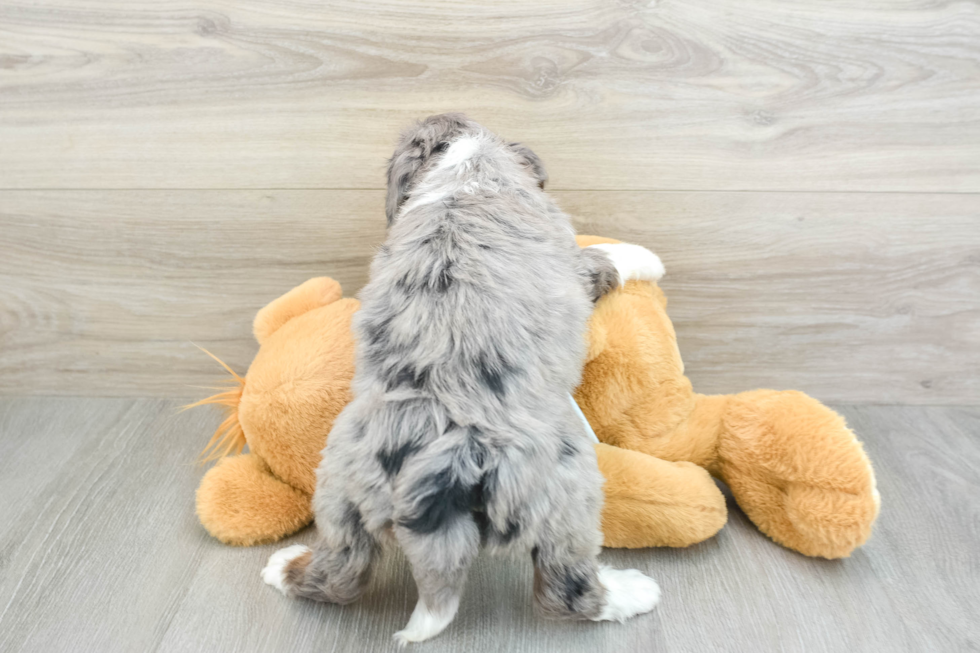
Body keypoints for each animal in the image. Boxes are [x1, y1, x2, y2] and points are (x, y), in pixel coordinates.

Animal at [260, 114, 664, 644]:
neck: (465, 160)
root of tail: (436, 453)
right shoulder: (575, 264)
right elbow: (605, 257)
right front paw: (649, 257)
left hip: (339, 494)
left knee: (339, 575)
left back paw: (283, 567)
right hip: (565, 491)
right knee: (564, 591)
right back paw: (633, 593)